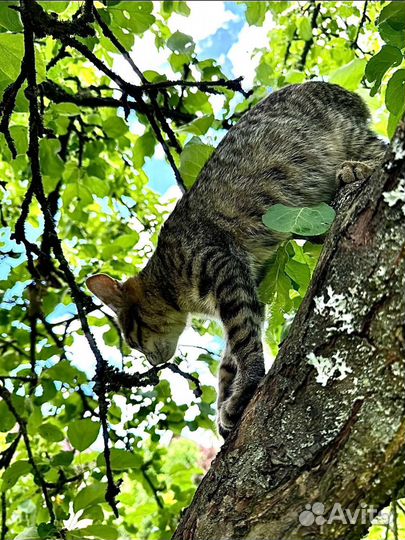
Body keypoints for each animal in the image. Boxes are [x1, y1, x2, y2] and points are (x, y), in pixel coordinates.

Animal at [86, 83, 386, 438]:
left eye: (133, 340)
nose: (151, 362)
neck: (171, 280)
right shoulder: (248, 283)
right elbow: (230, 357)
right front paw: (225, 404)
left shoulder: (225, 270)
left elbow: (243, 343)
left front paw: (244, 388)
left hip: (346, 136)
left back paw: (357, 168)